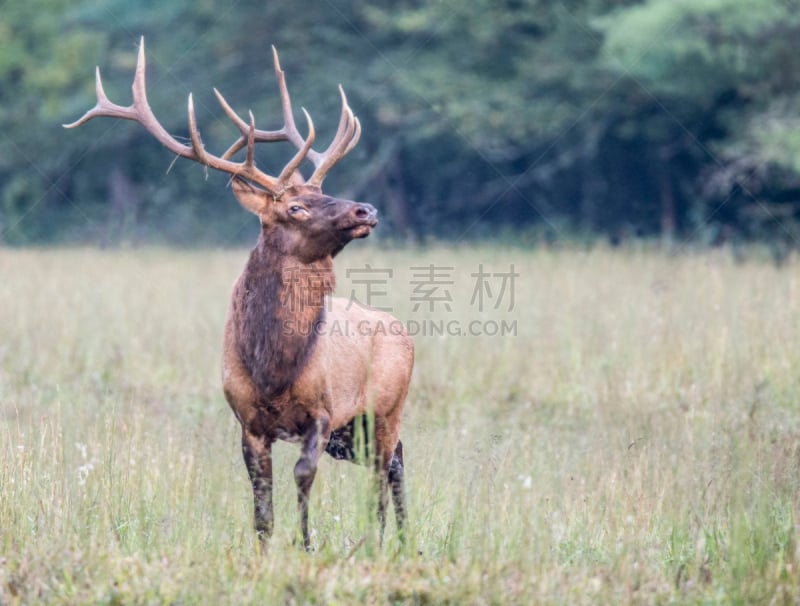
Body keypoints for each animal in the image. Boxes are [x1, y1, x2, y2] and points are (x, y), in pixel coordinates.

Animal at [66, 38, 416, 552]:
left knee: (386, 471)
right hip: (355, 431)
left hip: (385, 410)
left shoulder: (322, 412)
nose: (366, 209)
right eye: (297, 206)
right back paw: (400, 541)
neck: (273, 367)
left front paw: (306, 546)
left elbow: (302, 476)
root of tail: (403, 332)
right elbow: (262, 506)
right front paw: (266, 552)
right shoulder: (248, 421)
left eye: (324, 191)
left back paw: (386, 542)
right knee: (393, 464)